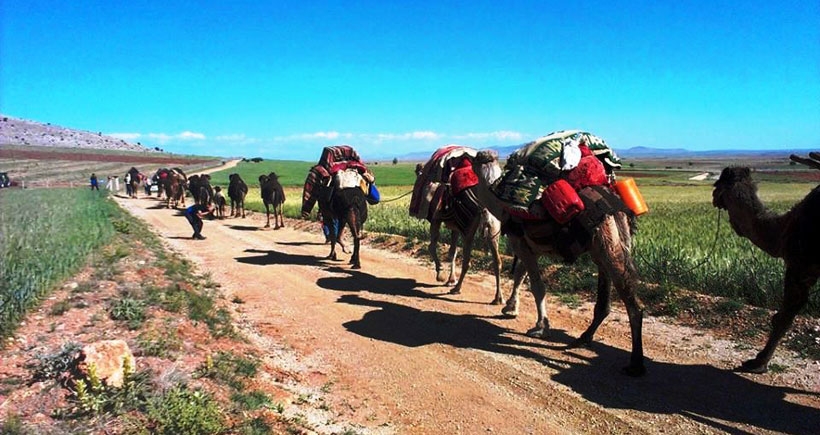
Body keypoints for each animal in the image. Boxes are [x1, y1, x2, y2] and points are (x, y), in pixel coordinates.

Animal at [410, 152, 506, 304]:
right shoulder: (455, 227)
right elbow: (452, 252)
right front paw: (450, 279)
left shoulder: (436, 219)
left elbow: (433, 246)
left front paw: (441, 274)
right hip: (493, 227)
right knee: (497, 262)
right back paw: (498, 298)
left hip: (469, 227)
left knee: (467, 260)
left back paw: (457, 288)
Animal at [470, 152, 644, 376]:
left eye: (476, 159)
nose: (467, 158)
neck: (502, 206)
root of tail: (615, 207)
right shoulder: (528, 246)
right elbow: (520, 275)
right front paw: (510, 308)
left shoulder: (522, 244)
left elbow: (537, 286)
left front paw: (540, 327)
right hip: (608, 244)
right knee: (605, 298)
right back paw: (583, 338)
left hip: (606, 241)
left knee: (630, 299)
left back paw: (635, 364)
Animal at [712, 154, 820, 374]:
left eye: (716, 184)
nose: (712, 196)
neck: (783, 228)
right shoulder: (808, 270)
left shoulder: (800, 265)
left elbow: (784, 316)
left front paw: (758, 362)